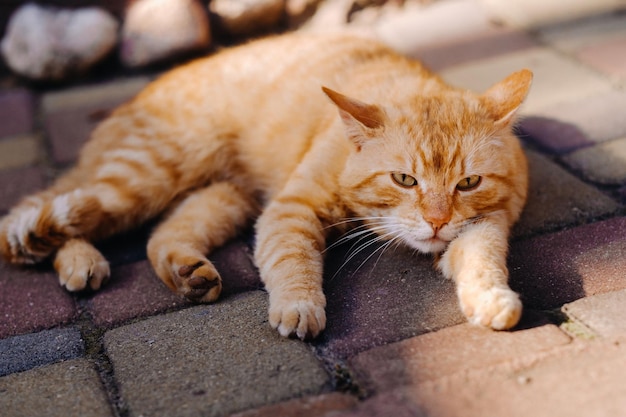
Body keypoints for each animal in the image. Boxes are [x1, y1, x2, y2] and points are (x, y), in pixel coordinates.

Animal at [0, 32, 532, 338]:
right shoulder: (290, 209)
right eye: (404, 179)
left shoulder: (488, 222)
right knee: (60, 211)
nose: (437, 222)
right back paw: (68, 255)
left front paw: (490, 299)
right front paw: (299, 306)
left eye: (468, 182)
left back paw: (186, 273)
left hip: (222, 198)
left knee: (162, 234)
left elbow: (483, 259)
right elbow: (291, 262)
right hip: (143, 178)